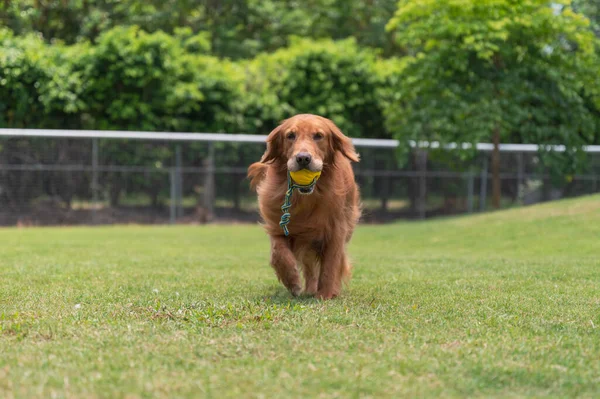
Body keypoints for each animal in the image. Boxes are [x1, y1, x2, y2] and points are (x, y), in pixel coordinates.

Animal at [247, 113, 360, 300]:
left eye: (319, 136)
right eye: (290, 136)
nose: (303, 158)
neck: (305, 198)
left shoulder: (336, 229)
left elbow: (330, 264)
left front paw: (326, 294)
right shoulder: (279, 224)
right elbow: (279, 253)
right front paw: (292, 282)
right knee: (309, 267)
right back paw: (310, 288)